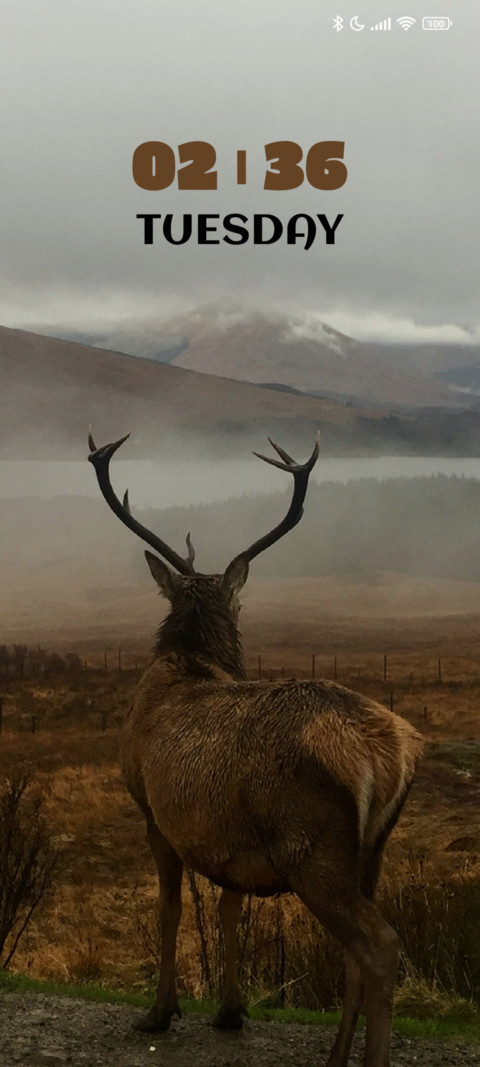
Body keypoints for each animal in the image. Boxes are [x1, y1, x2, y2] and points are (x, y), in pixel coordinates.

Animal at [88, 430, 423, 1067]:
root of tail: (391, 757)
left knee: (382, 945)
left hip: (311, 848)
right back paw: (336, 1056)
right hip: (370, 851)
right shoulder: (230, 839)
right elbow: (229, 909)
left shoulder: (151, 809)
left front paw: (160, 1012)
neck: (189, 663)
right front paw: (229, 1010)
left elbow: (169, 911)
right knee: (358, 953)